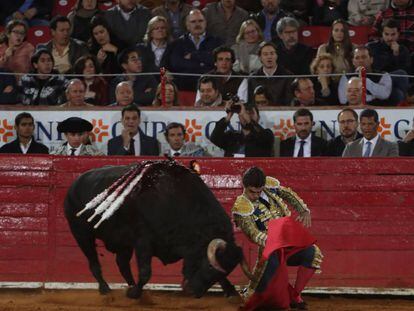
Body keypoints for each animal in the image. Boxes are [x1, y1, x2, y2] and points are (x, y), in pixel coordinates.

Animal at [64, 161, 251, 300]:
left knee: (122, 263)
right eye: (210, 267)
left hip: (123, 243)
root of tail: (75, 184)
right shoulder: (143, 242)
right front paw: (135, 294)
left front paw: (232, 291)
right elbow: (146, 272)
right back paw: (105, 288)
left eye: (224, 271)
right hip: (81, 233)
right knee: (94, 262)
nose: (194, 292)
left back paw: (129, 285)